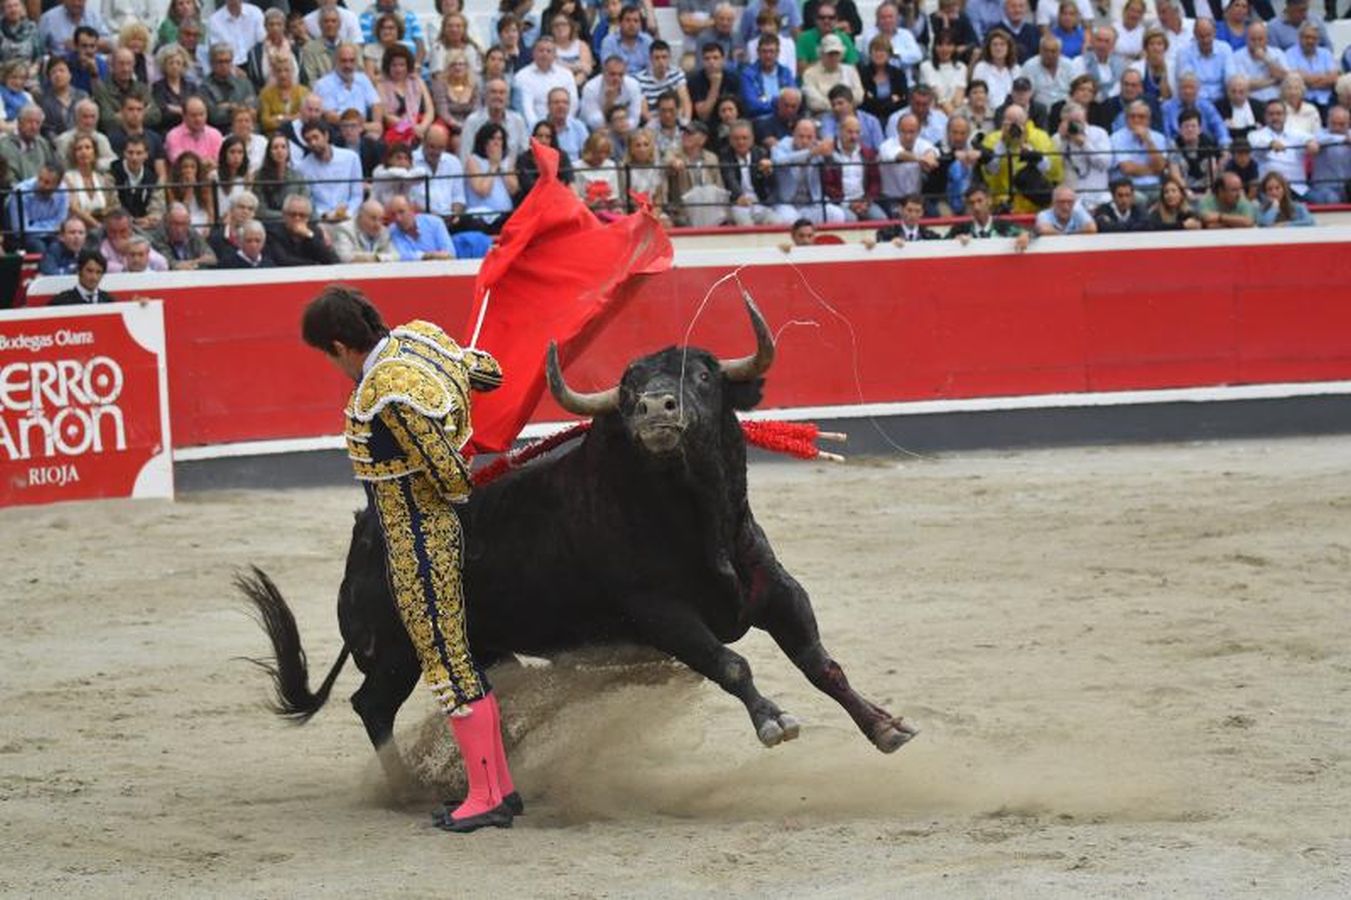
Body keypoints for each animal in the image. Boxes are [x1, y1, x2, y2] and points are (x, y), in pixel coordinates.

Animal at [243, 294, 918, 778]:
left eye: (702, 375)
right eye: (627, 389)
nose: (655, 409)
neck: (697, 518)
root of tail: (362, 537)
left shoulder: (777, 590)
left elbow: (820, 663)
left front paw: (886, 727)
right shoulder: (661, 614)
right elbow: (732, 663)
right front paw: (775, 722)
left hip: (483, 645)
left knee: (482, 693)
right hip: (399, 649)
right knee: (375, 705)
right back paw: (406, 785)